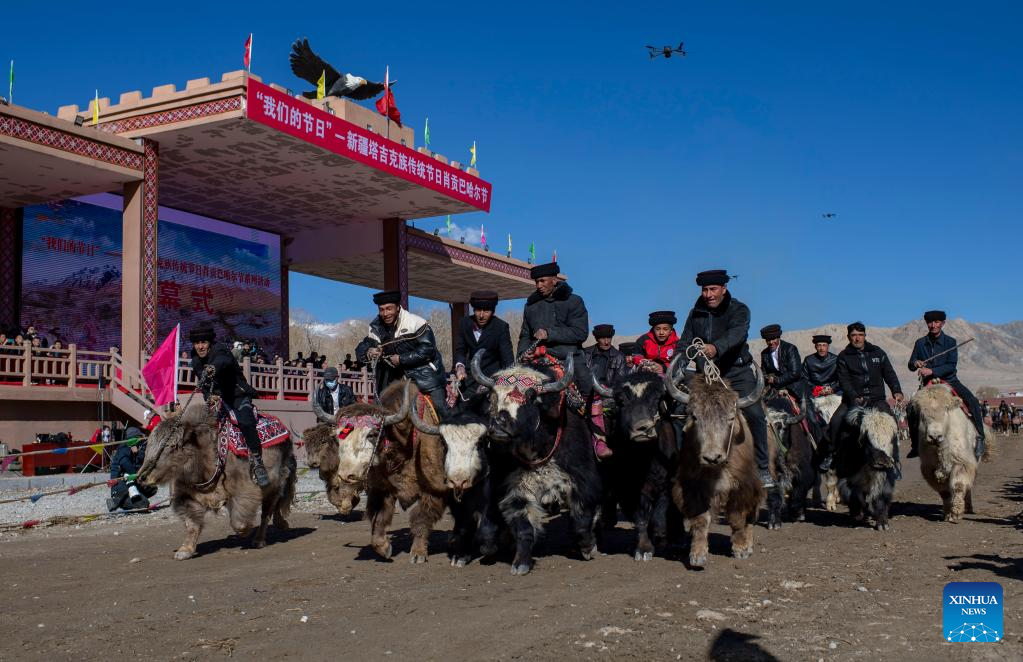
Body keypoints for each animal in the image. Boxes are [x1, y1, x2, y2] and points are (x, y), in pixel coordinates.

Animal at [137, 398, 296, 559]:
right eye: (148, 446)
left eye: (171, 447)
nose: (142, 477)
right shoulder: (187, 496)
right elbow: (192, 524)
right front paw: (185, 550)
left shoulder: (244, 491)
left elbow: (238, 521)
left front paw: (244, 532)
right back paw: (281, 524)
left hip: (275, 484)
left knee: (267, 512)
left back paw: (259, 540)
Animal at [472, 351, 603, 576]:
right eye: (493, 395)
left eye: (531, 396)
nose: (498, 424)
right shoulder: (516, 487)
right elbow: (523, 525)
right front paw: (521, 563)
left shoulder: (582, 479)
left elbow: (582, 517)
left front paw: (587, 548)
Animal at [593, 368, 679, 561]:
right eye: (622, 401)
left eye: (656, 399)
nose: (643, 429)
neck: (645, 457)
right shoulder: (629, 490)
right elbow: (640, 517)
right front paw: (644, 549)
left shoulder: (665, 484)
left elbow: (659, 514)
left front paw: (662, 539)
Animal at [665, 357, 769, 568]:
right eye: (695, 417)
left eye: (730, 418)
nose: (712, 457)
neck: (716, 470)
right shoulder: (692, 488)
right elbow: (700, 520)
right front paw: (697, 555)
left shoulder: (741, 486)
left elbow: (737, 518)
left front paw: (740, 549)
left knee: (751, 517)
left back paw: (749, 544)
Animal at [908, 384, 993, 522]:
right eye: (922, 413)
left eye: (945, 410)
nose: (935, 437)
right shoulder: (929, 467)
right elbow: (944, 491)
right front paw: (948, 512)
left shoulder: (961, 461)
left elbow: (959, 484)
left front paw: (956, 512)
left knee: (968, 486)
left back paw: (968, 507)